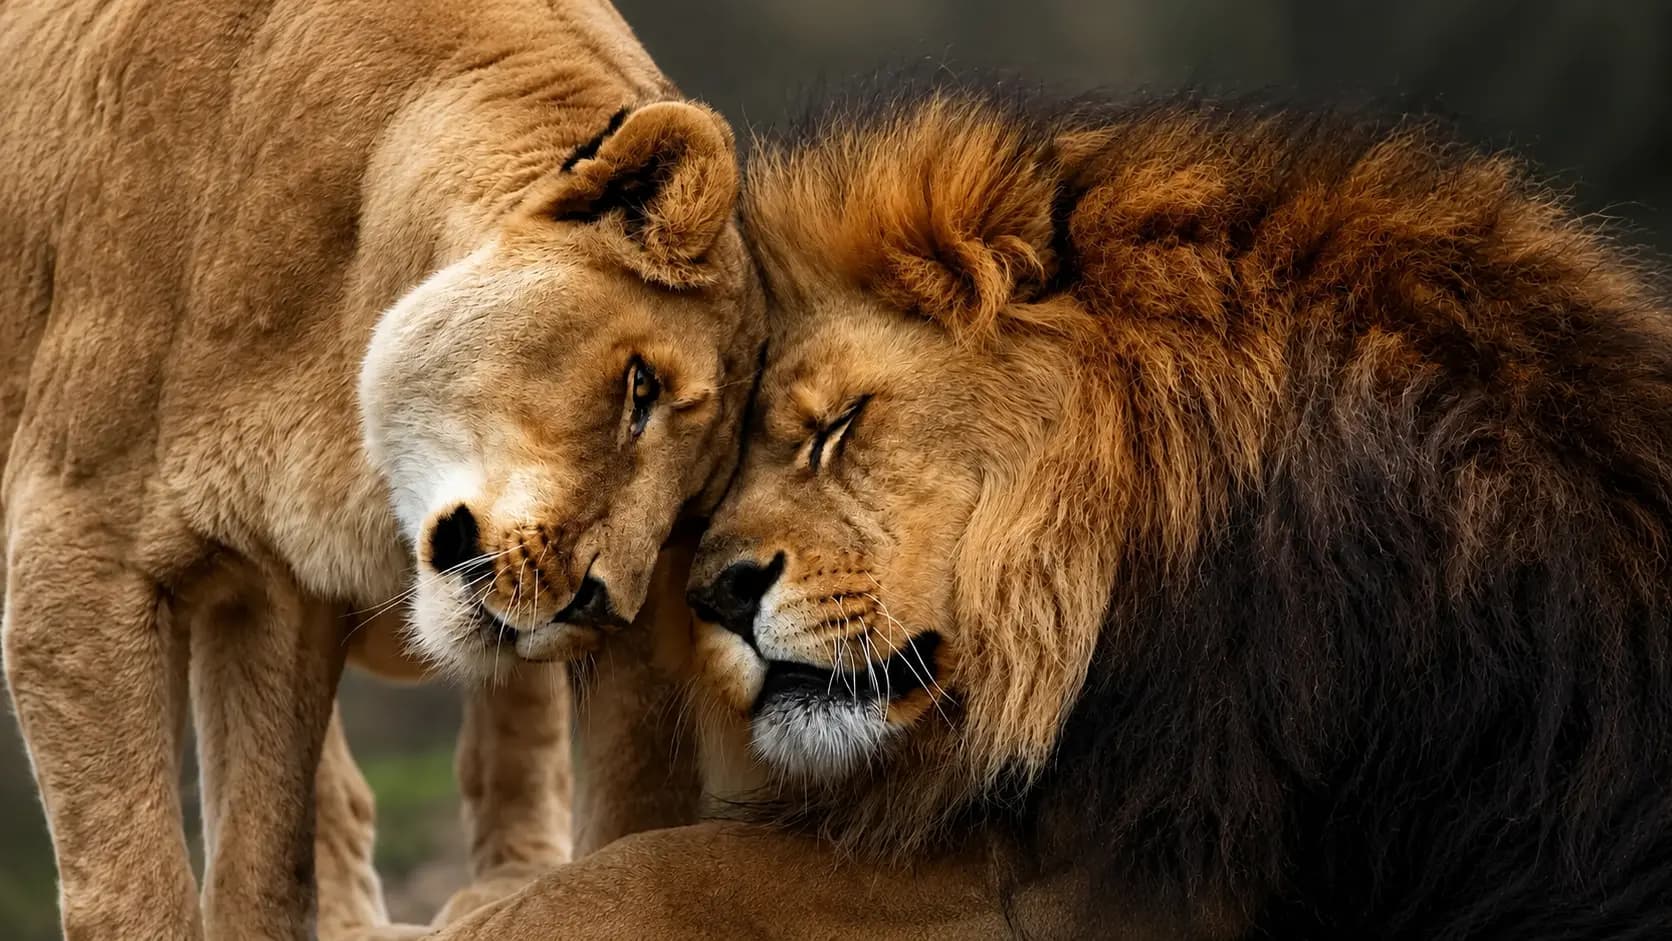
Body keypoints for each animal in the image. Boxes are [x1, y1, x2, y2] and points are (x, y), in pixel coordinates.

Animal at [0, 0, 759, 937]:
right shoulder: (80, 546)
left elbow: (263, 858)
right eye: (639, 388)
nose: (598, 603)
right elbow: (136, 878)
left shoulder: (267, 580)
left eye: (693, 498)